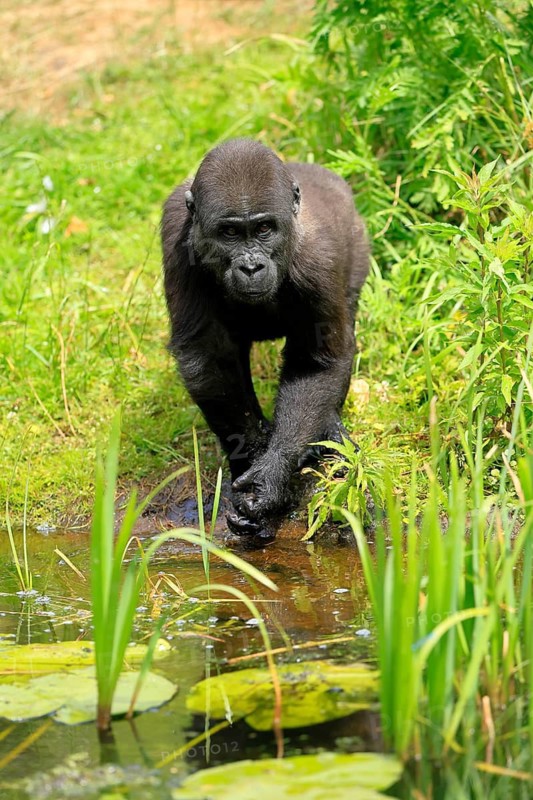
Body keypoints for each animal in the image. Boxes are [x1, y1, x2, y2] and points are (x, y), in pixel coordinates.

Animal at [162, 138, 369, 540]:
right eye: (229, 234)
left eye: (263, 229)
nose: (252, 266)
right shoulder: (175, 233)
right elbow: (207, 358)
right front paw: (253, 458)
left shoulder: (319, 260)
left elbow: (316, 365)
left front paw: (269, 482)